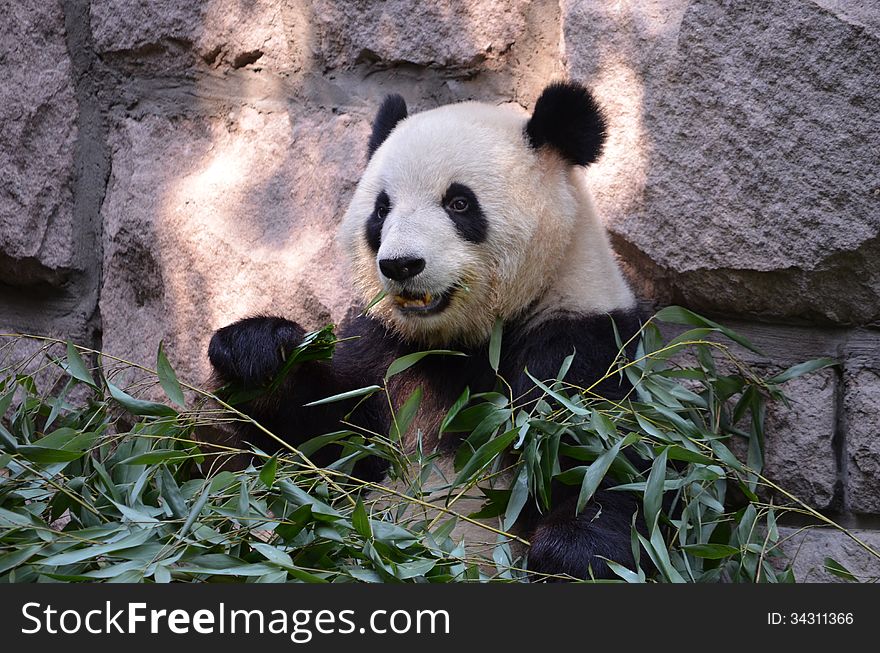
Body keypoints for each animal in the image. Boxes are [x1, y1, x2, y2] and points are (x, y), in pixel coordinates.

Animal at [209, 80, 644, 576]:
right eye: (382, 209)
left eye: (459, 202)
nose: (401, 264)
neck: (465, 339)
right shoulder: (383, 346)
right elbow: (319, 445)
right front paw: (257, 352)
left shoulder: (580, 338)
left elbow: (596, 458)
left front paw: (571, 554)